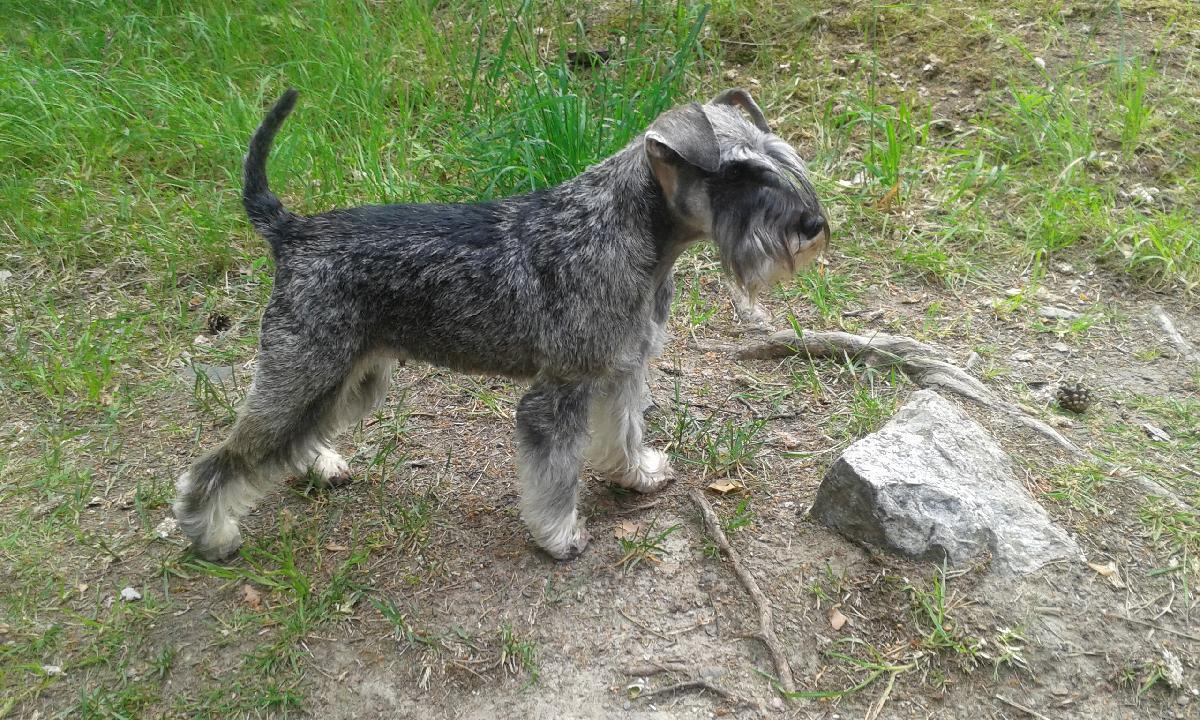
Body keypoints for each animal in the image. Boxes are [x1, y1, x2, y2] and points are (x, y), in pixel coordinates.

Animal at [174, 87, 828, 561]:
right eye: (738, 174)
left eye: (777, 156)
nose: (812, 225)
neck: (624, 230)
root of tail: (292, 231)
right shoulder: (560, 391)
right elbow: (554, 475)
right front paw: (560, 537)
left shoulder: (621, 371)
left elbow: (623, 431)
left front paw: (637, 475)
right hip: (305, 370)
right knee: (222, 461)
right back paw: (211, 535)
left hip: (349, 378)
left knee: (293, 436)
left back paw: (318, 465)